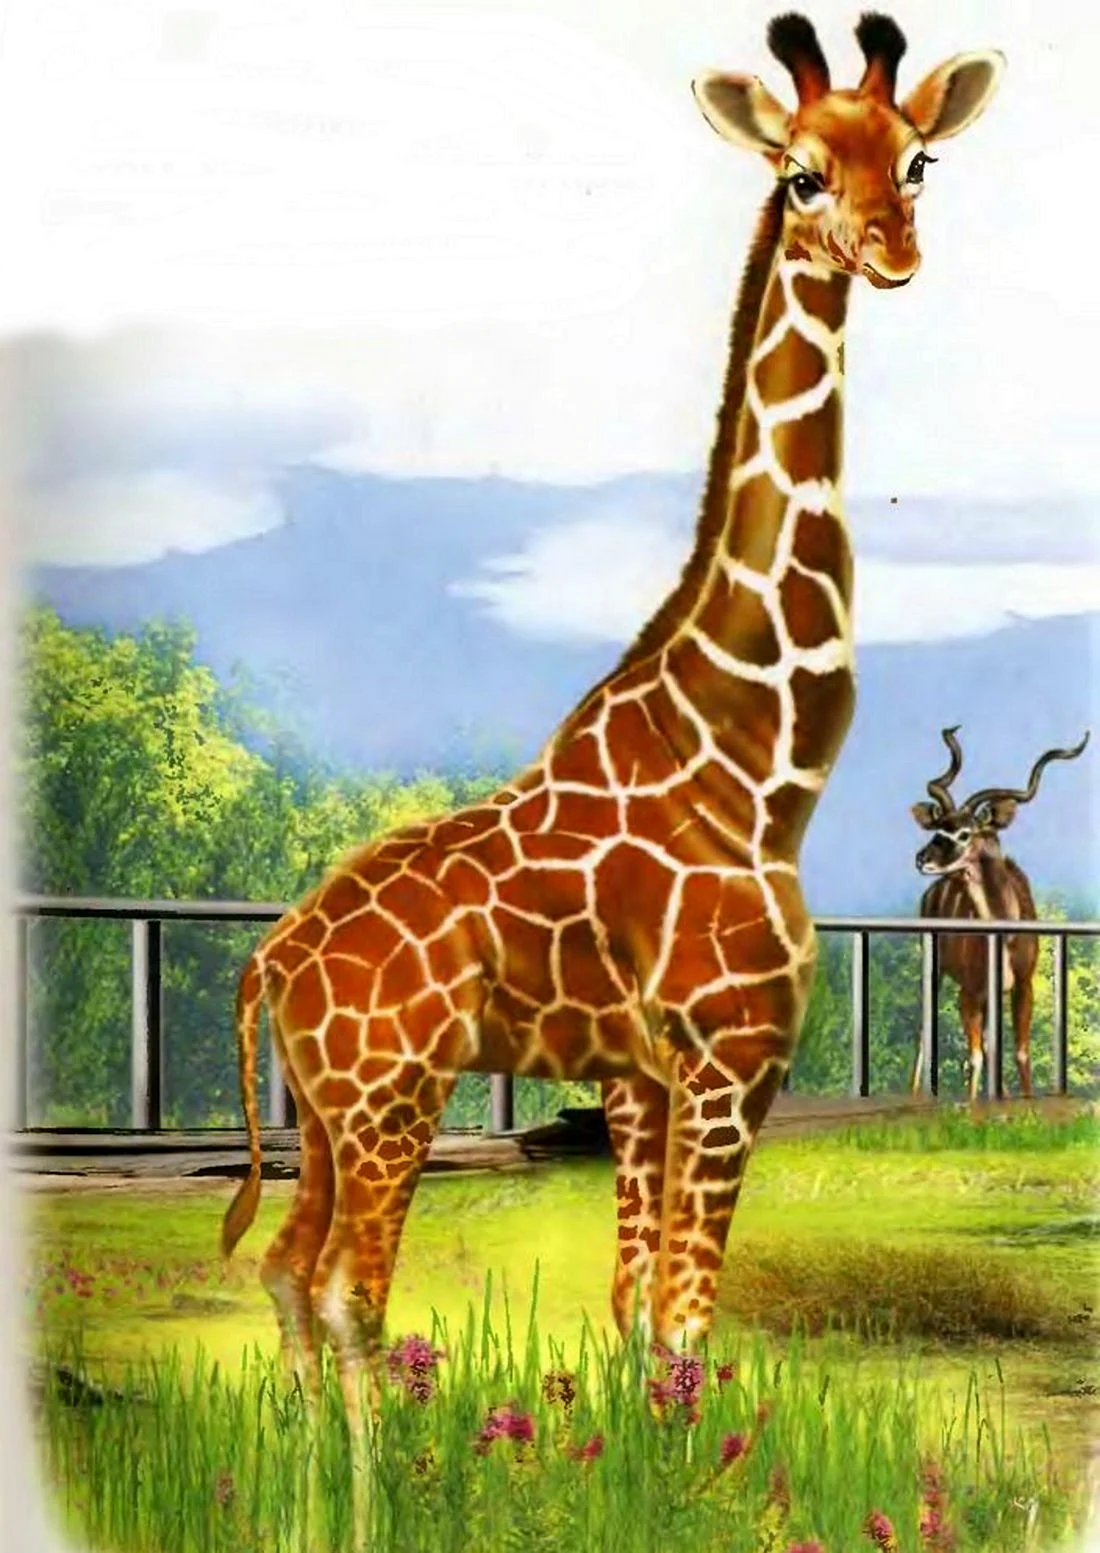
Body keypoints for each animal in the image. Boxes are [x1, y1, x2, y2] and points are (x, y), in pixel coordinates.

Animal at [221, 12, 1004, 1442]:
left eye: (916, 158)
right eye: (800, 172)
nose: (890, 249)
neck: (758, 760)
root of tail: (267, 965)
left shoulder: (639, 1078)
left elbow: (639, 1313)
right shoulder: (729, 1057)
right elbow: (688, 1316)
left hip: (317, 1110)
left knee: (287, 1270)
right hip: (388, 1095)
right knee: (352, 1287)